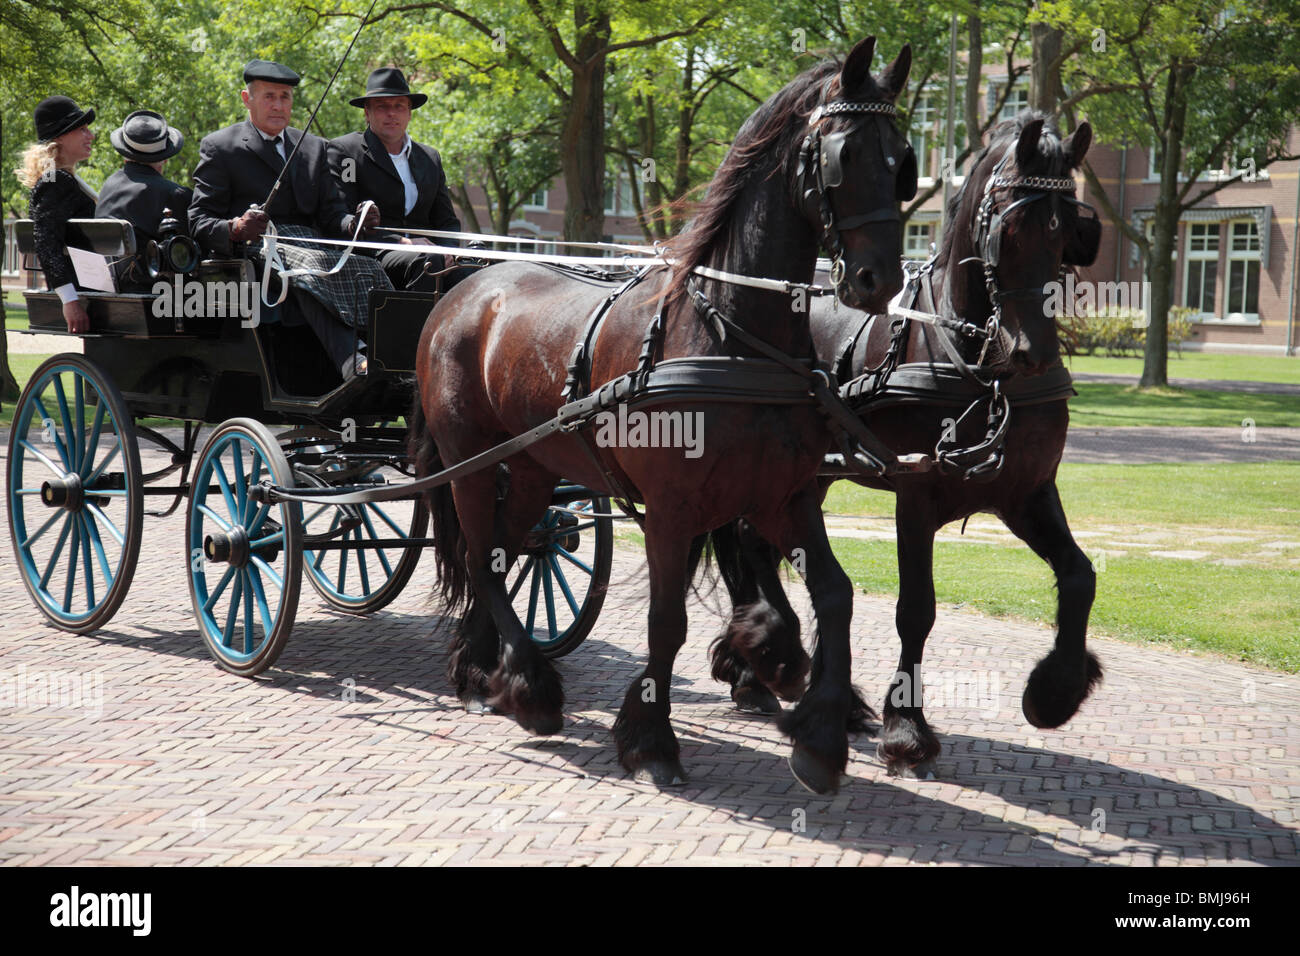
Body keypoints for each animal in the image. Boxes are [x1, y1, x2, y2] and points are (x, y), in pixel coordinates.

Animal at [707, 111, 1102, 780]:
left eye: (1070, 230)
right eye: (1009, 229)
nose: (1034, 352)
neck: (978, 365)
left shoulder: (1025, 490)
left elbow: (1079, 576)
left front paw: (1055, 691)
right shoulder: (915, 495)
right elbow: (916, 608)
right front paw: (906, 730)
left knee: (755, 543)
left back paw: (781, 676)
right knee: (748, 541)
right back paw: (774, 663)